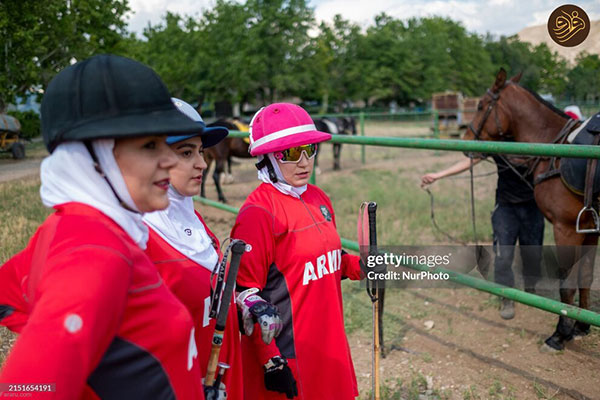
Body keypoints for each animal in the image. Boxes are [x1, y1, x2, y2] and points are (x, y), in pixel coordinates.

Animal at [464, 69, 596, 354]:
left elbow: (566, 284)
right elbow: (585, 276)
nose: (465, 140)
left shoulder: (566, 229)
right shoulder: (591, 230)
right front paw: (581, 327)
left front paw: (559, 335)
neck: (556, 149)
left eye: (480, 105)